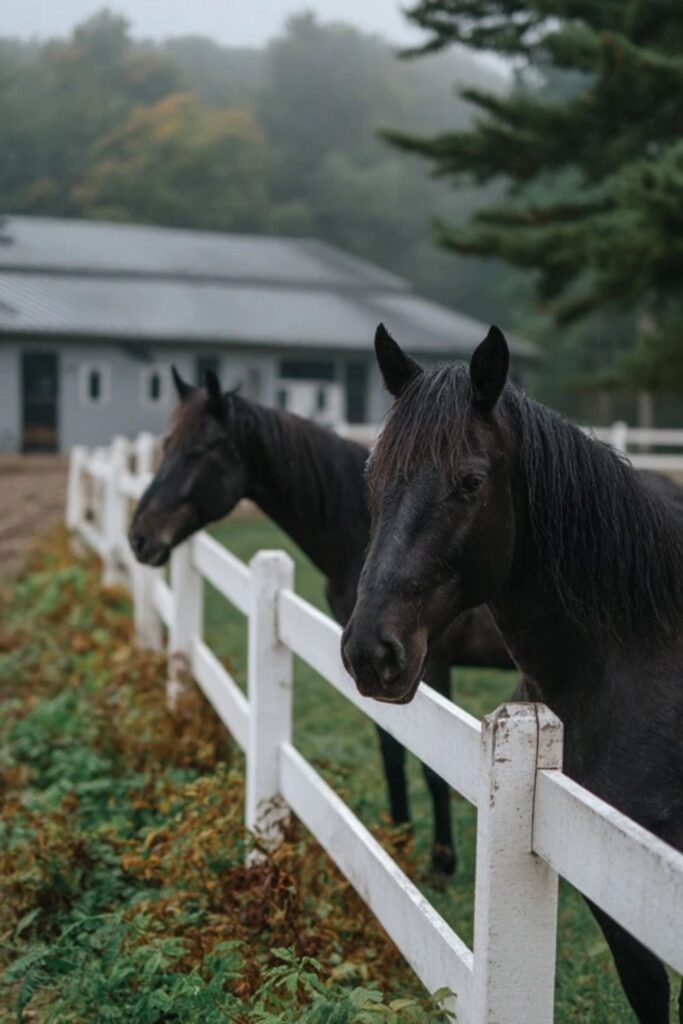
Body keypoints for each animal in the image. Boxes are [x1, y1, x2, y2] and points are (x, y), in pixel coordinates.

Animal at [129, 366, 512, 877]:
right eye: (168, 444)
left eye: (205, 447)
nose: (139, 537)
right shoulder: (378, 669)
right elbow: (392, 752)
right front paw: (400, 842)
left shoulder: (430, 665)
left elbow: (432, 769)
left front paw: (441, 860)